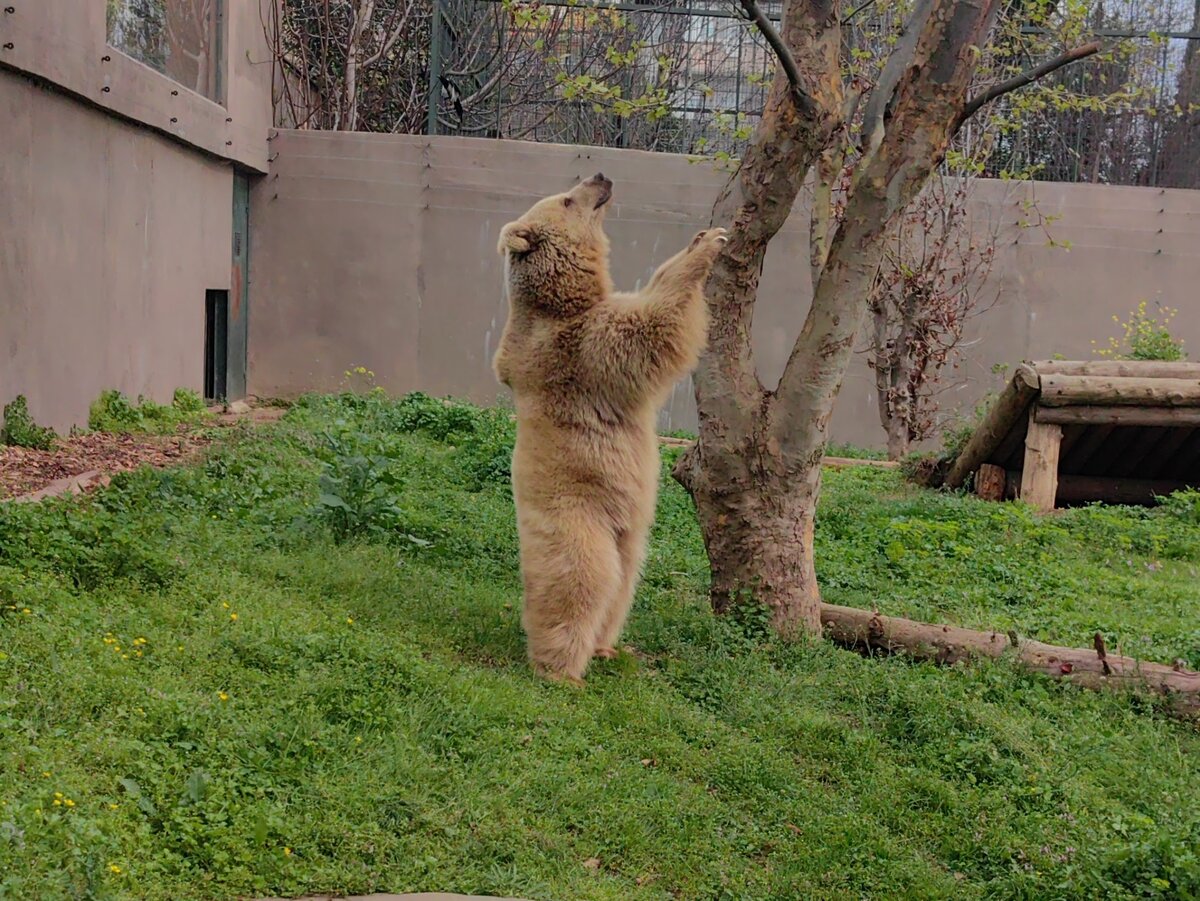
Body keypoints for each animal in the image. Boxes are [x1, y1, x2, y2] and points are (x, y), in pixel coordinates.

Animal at [492, 173, 724, 681]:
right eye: (566, 198)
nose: (601, 177)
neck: (558, 300)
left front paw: (702, 235)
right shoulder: (581, 347)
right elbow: (652, 327)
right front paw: (710, 244)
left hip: (627, 531)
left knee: (626, 579)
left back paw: (604, 648)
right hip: (579, 514)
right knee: (583, 578)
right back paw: (560, 668)